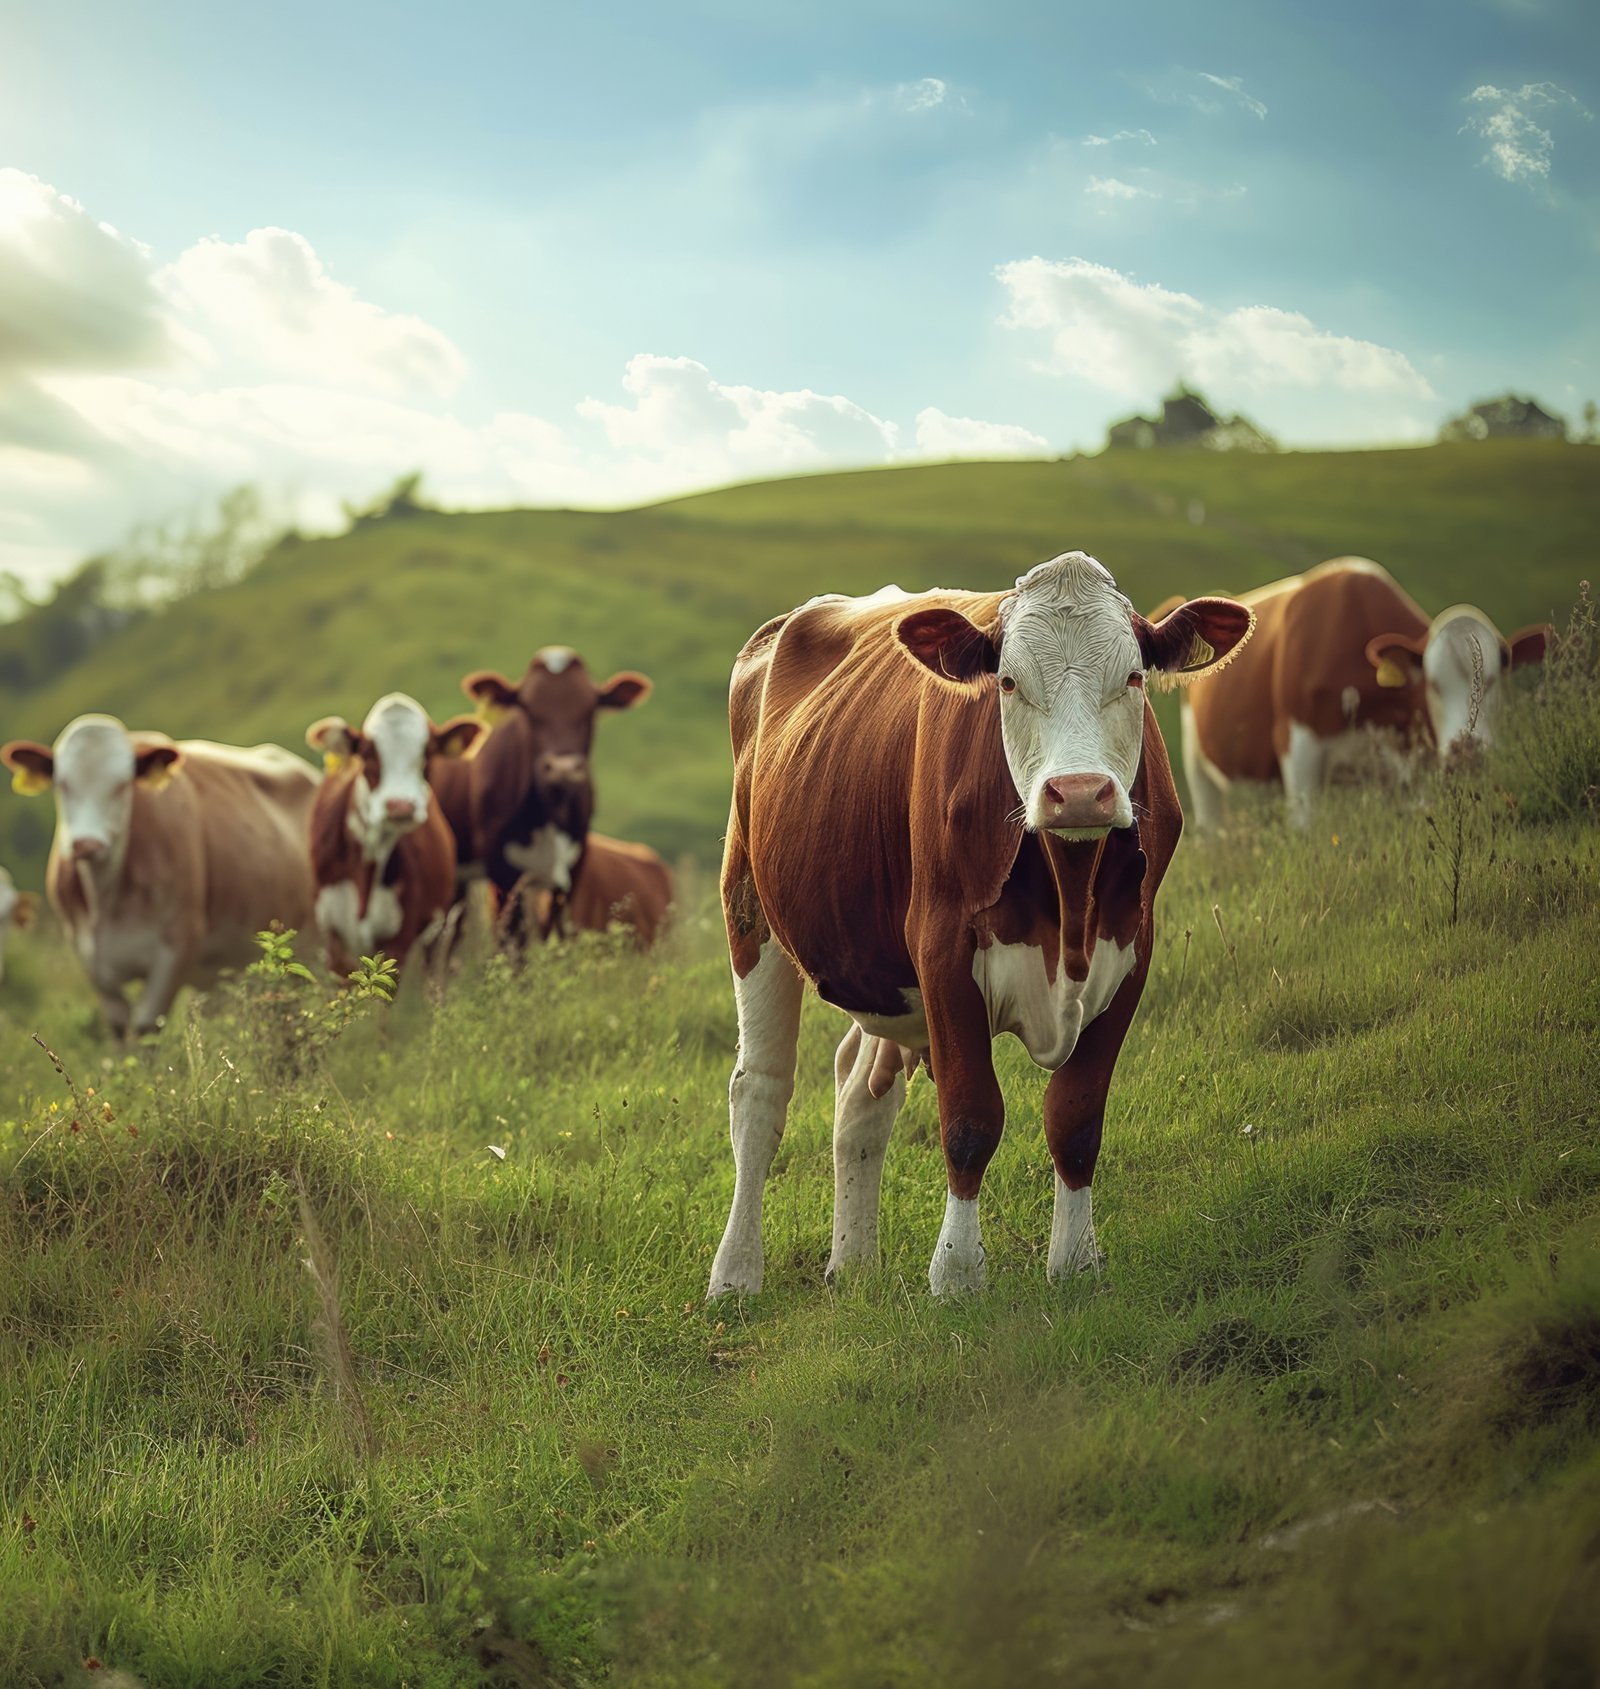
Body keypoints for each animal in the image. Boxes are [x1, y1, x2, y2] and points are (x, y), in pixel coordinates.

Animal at [1, 716, 317, 1036]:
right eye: (63, 784)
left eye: (122, 785)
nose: (87, 844)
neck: (107, 900)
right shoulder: (87, 954)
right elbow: (119, 1027)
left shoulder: (175, 948)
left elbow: (146, 1027)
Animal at [461, 647, 651, 944]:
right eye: (528, 708)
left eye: (590, 708)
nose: (563, 768)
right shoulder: (503, 873)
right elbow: (512, 939)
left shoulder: (572, 869)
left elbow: (560, 931)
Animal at [705, 552, 1253, 1299]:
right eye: (1009, 681)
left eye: (1135, 678)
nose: (1078, 793)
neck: (1069, 898)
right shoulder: (942, 952)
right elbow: (970, 1117)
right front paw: (959, 1274)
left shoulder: (1132, 951)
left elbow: (1076, 1117)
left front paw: (1074, 1263)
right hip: (750, 906)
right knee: (760, 1090)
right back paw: (735, 1274)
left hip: (883, 970)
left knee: (860, 1094)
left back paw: (853, 1261)